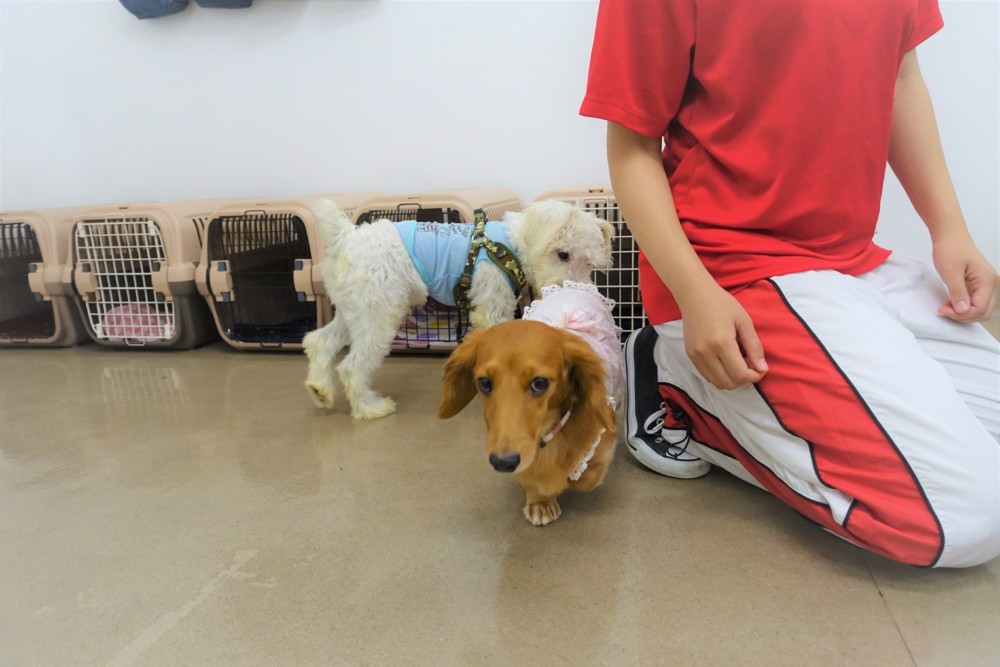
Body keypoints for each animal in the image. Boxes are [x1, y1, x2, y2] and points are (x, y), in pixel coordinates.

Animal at [303, 198, 614, 420]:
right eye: (562, 254)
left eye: (590, 263)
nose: (573, 291)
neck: (511, 245)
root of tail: (347, 237)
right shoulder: (492, 307)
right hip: (378, 315)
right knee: (351, 366)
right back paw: (369, 408)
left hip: (354, 311)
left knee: (318, 341)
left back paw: (320, 391)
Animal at [438, 294, 623, 525]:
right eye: (484, 383)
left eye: (539, 383)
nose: (502, 463)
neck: (547, 435)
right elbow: (532, 475)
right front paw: (540, 501)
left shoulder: (602, 439)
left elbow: (586, 477)